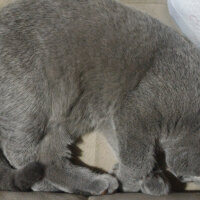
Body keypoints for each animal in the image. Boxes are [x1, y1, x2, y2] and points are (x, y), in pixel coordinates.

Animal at [0, 0, 200, 195]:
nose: (182, 178)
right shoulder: (138, 111)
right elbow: (137, 159)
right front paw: (129, 182)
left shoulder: (112, 118)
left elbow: (124, 147)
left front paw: (152, 179)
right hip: (29, 101)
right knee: (20, 152)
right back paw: (48, 185)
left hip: (61, 121)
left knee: (49, 157)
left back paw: (94, 184)